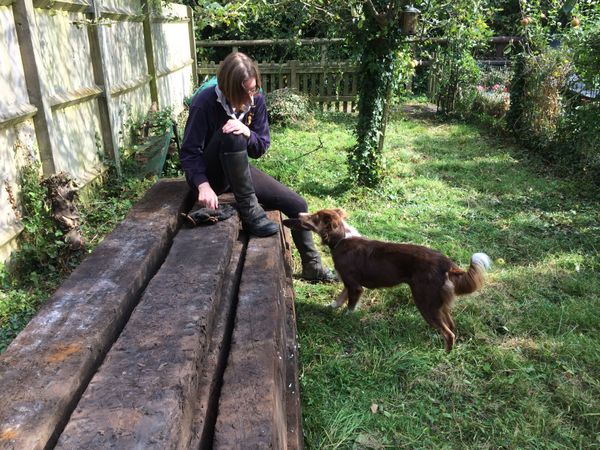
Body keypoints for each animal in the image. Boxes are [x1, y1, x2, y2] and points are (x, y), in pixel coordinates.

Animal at [282, 208, 492, 352]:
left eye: (315, 217)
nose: (299, 213)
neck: (341, 238)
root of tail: (447, 264)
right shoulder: (349, 282)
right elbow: (340, 298)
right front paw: (331, 308)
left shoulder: (355, 285)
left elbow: (350, 305)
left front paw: (345, 318)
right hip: (438, 303)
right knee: (451, 325)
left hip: (425, 302)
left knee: (449, 333)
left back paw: (444, 353)